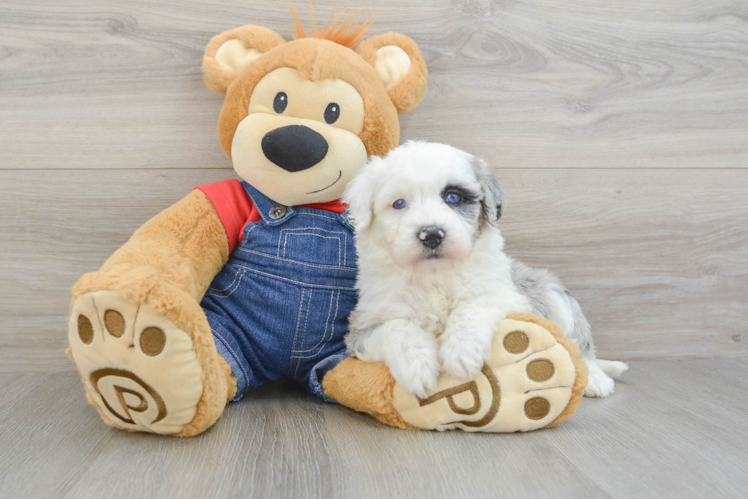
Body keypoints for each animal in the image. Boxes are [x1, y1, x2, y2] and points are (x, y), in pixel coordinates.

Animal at [344, 141, 624, 398]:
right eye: (399, 203)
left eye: (453, 197)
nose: (431, 235)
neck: (434, 275)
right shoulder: (362, 328)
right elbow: (396, 328)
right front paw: (416, 366)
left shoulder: (508, 295)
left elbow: (474, 304)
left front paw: (462, 351)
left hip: (553, 295)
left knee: (579, 345)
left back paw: (596, 380)